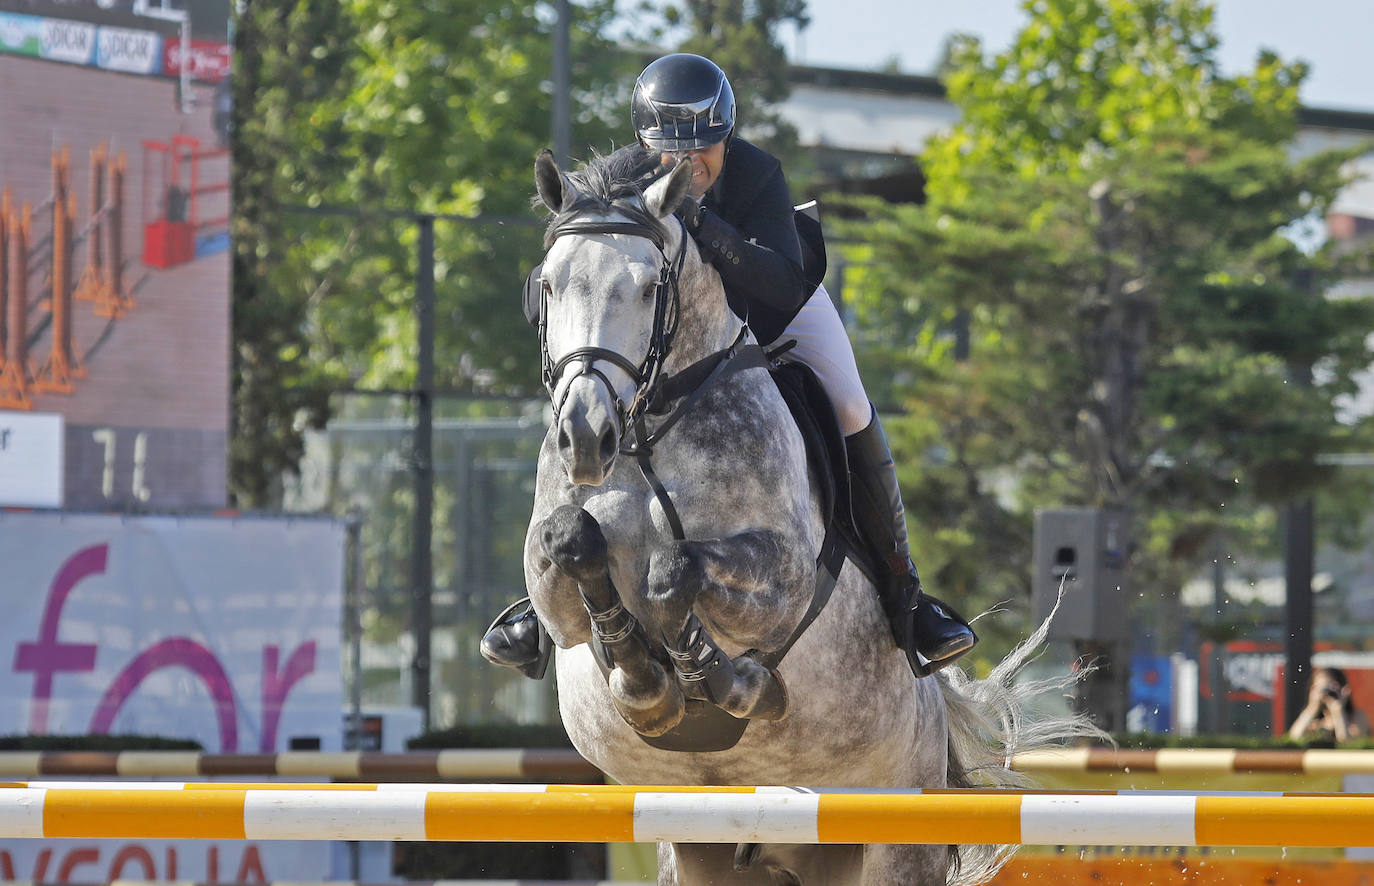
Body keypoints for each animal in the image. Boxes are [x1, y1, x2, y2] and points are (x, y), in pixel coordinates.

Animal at [524, 146, 1093, 884]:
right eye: (550, 286)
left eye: (650, 288)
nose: (585, 438)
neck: (648, 430)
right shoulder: (555, 598)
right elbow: (573, 544)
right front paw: (650, 686)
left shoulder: (783, 577)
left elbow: (676, 569)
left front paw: (724, 681)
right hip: (702, 849)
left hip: (893, 841)